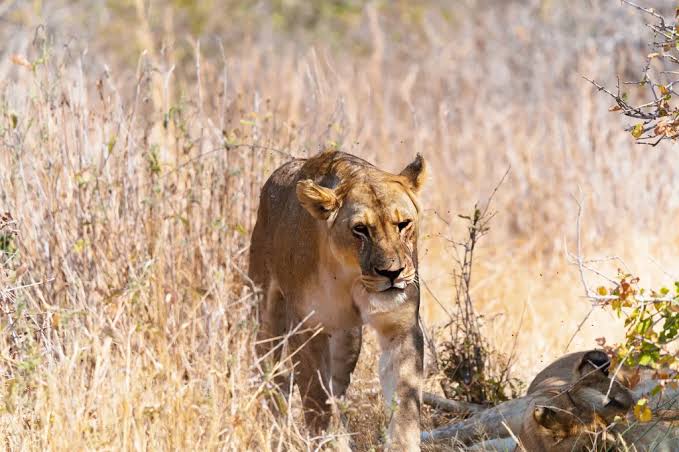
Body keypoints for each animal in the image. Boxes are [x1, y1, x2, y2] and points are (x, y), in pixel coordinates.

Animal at [248, 150, 427, 451]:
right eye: (360, 229)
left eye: (403, 224)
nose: (392, 273)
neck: (352, 275)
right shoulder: (308, 327)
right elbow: (317, 398)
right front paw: (328, 440)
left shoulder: (400, 326)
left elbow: (404, 401)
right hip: (266, 312)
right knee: (270, 372)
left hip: (348, 337)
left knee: (338, 386)